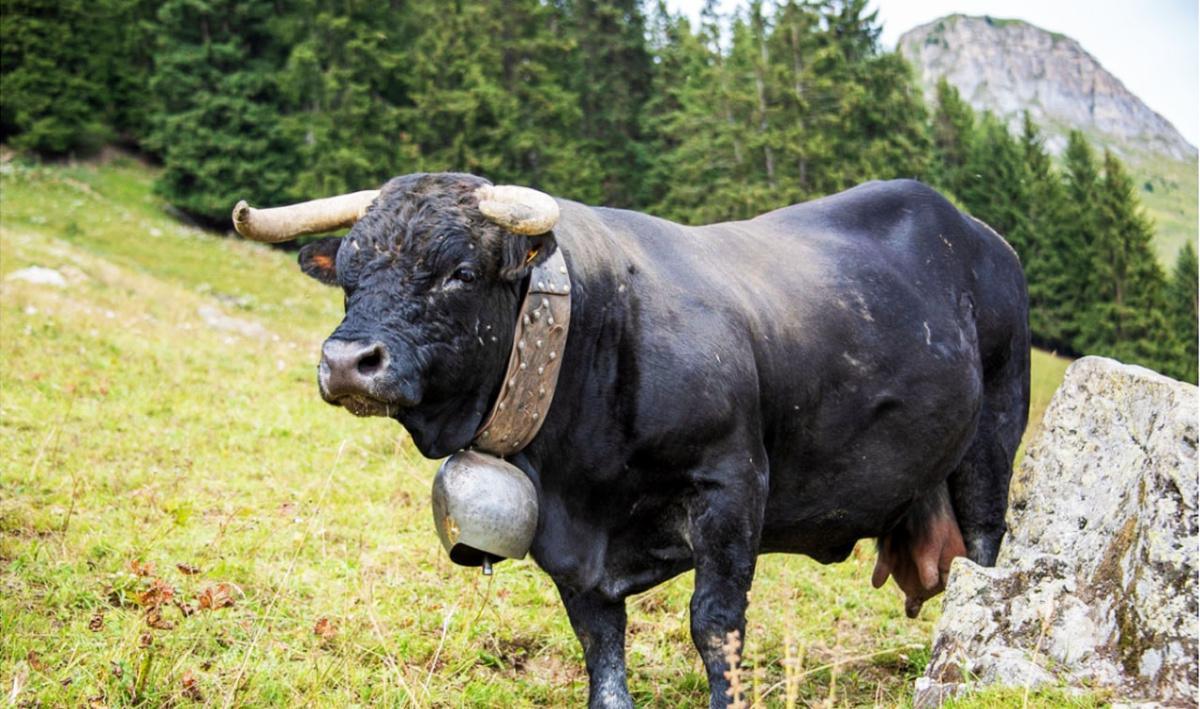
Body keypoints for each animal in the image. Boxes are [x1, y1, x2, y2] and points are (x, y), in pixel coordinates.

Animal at [290, 173, 1032, 709]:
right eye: (348, 275)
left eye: (460, 272)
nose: (348, 360)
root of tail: (978, 235)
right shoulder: (567, 542)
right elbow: (599, 638)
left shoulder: (732, 483)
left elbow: (715, 624)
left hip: (995, 433)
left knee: (983, 547)